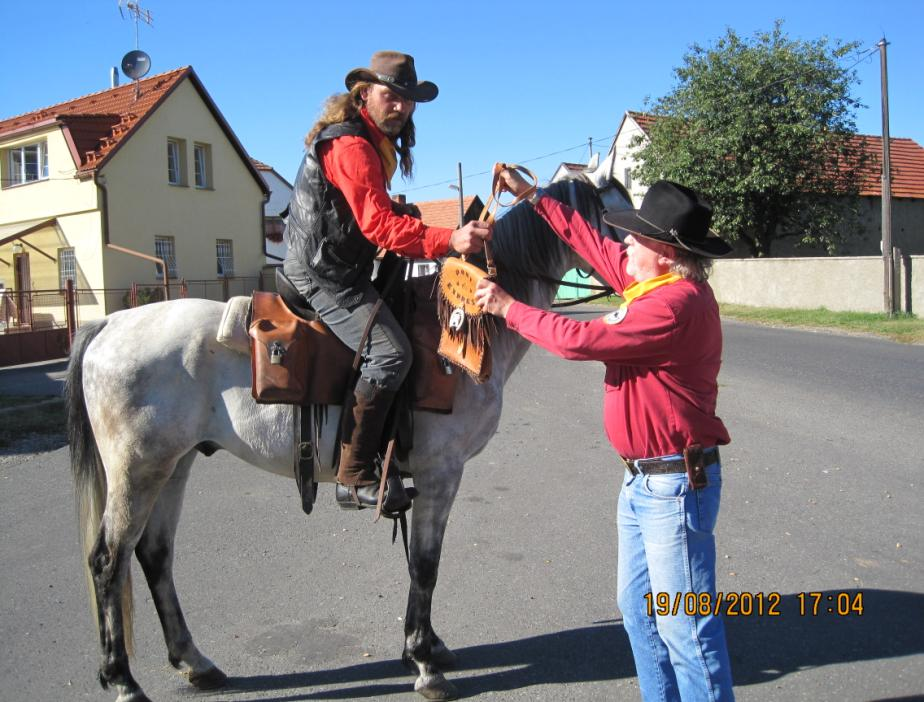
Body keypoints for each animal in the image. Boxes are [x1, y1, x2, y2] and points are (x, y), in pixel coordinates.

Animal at [63, 177, 628, 702]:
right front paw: (425, 664)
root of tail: (109, 323)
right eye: (614, 220)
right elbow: (426, 565)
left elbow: (423, 564)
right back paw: (123, 680)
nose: (646, 270)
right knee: (108, 560)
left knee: (155, 554)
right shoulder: (440, 472)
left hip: (173, 464)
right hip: (138, 469)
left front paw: (426, 646)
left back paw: (195, 662)